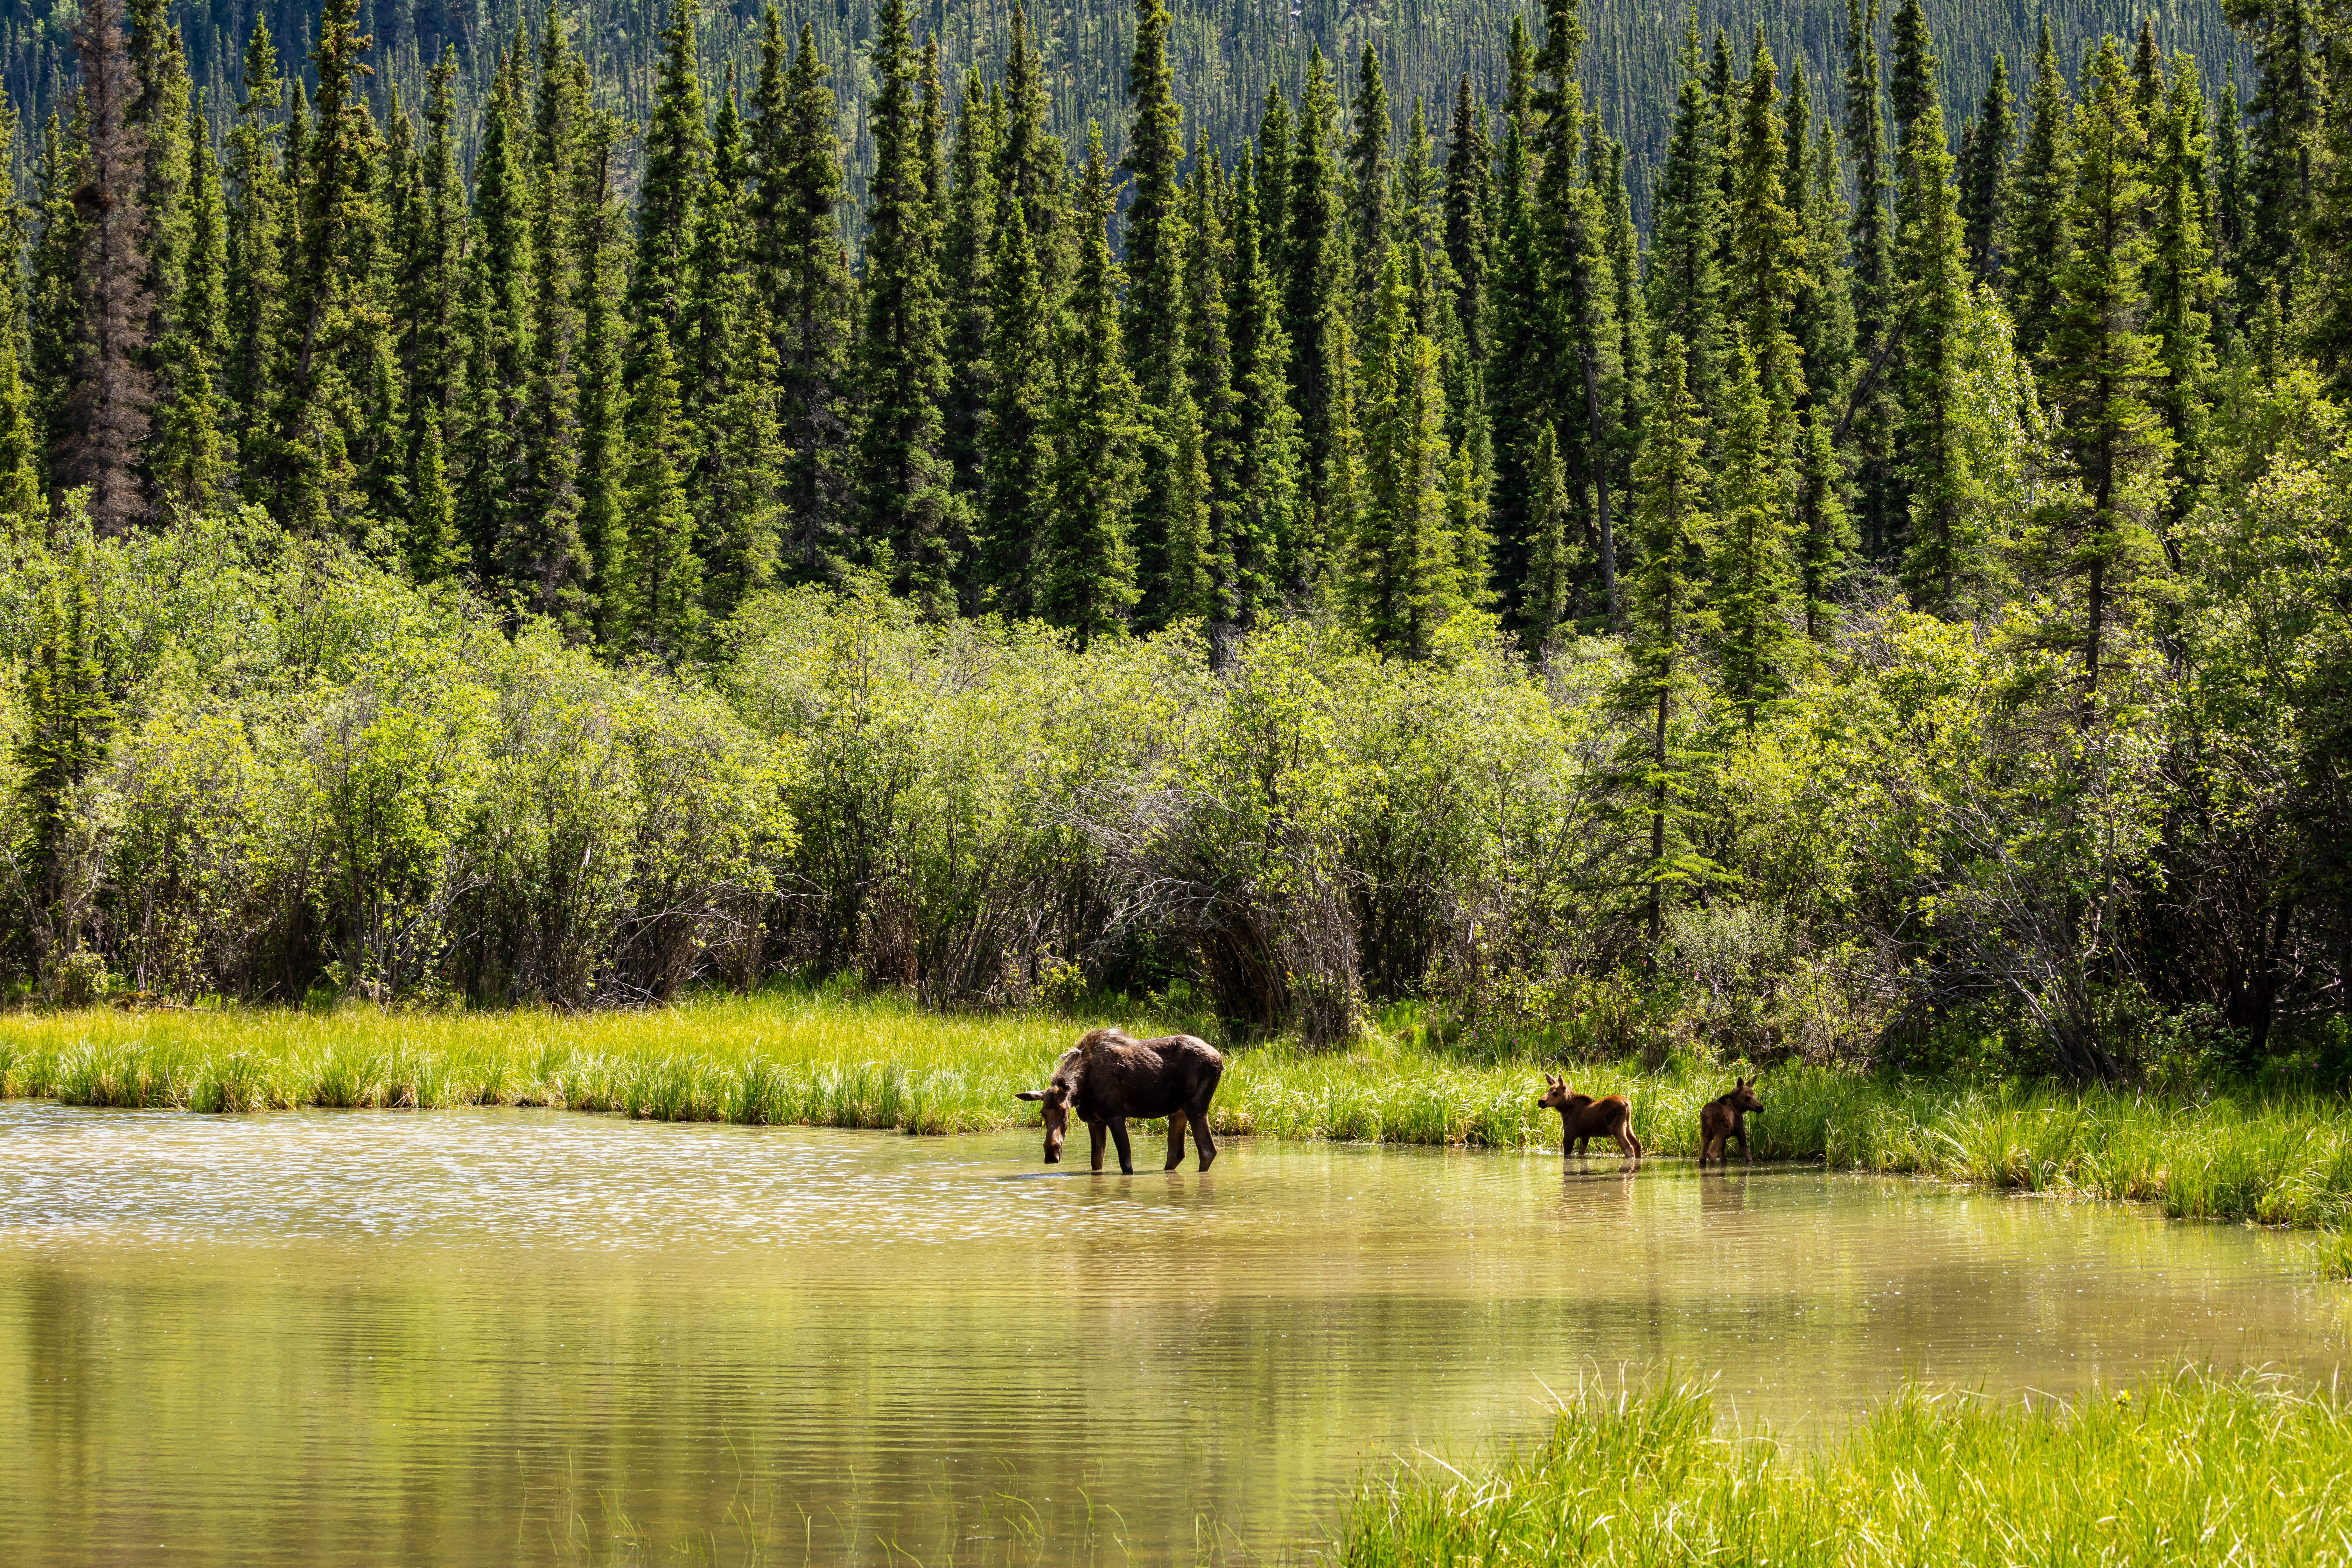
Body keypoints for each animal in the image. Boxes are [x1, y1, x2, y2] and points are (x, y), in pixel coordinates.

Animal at [1016, 1025, 1232, 1170]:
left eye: (1064, 1111)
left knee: (1208, 1150)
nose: (1051, 1154)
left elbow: (1126, 1164)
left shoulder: (1116, 1116)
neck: (1081, 1092)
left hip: (1196, 1106)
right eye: (1043, 1113)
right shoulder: (1095, 1121)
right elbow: (1097, 1163)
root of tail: (1221, 1059)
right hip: (1178, 1111)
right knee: (1176, 1153)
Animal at [1533, 1081, 1646, 1166]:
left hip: (1616, 1127)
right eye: (1548, 1090)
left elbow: (1568, 1154)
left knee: (1628, 1148)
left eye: (1555, 1093)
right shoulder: (1585, 1136)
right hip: (1628, 1125)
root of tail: (1627, 1104)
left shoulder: (1570, 1134)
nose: (1540, 1102)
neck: (1565, 1109)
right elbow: (1581, 1154)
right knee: (1638, 1145)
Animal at [1703, 1081, 1759, 1166]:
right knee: (1712, 1153)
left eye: (1755, 1095)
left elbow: (1724, 1157)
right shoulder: (1740, 1129)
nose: (1761, 1107)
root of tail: (1708, 1115)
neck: (1739, 1109)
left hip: (1706, 1132)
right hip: (1720, 1132)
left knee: (1702, 1156)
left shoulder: (1725, 1138)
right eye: (1748, 1098)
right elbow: (1745, 1148)